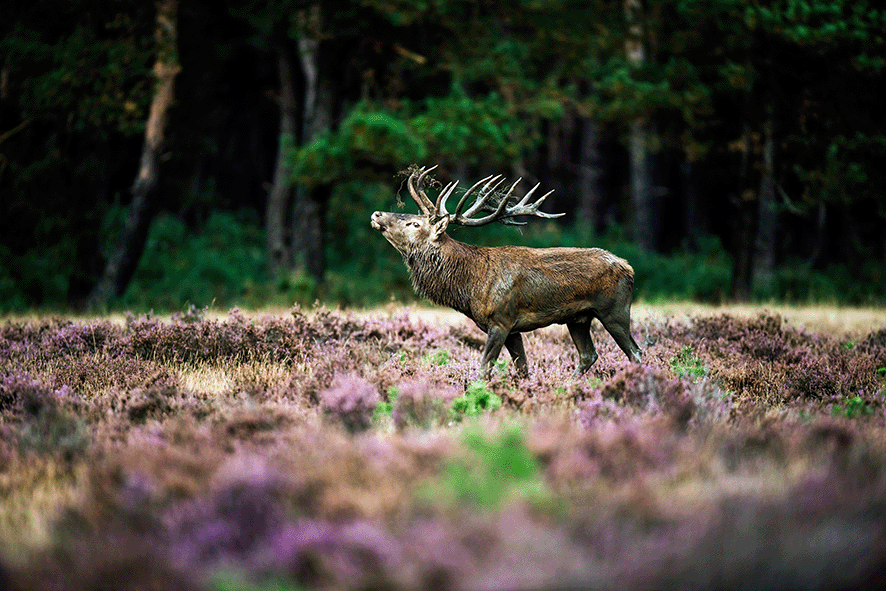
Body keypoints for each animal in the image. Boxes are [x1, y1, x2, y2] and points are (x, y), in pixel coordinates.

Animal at [372, 164, 640, 382]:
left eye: (415, 223)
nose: (377, 214)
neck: (469, 287)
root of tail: (629, 268)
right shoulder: (514, 330)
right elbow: (523, 370)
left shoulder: (501, 320)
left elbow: (483, 370)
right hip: (578, 318)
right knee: (588, 355)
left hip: (614, 310)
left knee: (635, 352)